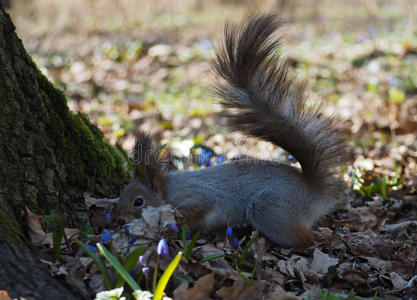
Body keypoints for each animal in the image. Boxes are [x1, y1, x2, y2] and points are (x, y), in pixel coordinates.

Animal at [115, 14, 346, 248]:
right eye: (122, 193)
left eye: (138, 201)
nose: (118, 218)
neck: (168, 189)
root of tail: (313, 192)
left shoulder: (199, 196)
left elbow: (197, 207)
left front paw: (175, 221)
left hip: (269, 208)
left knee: (307, 239)